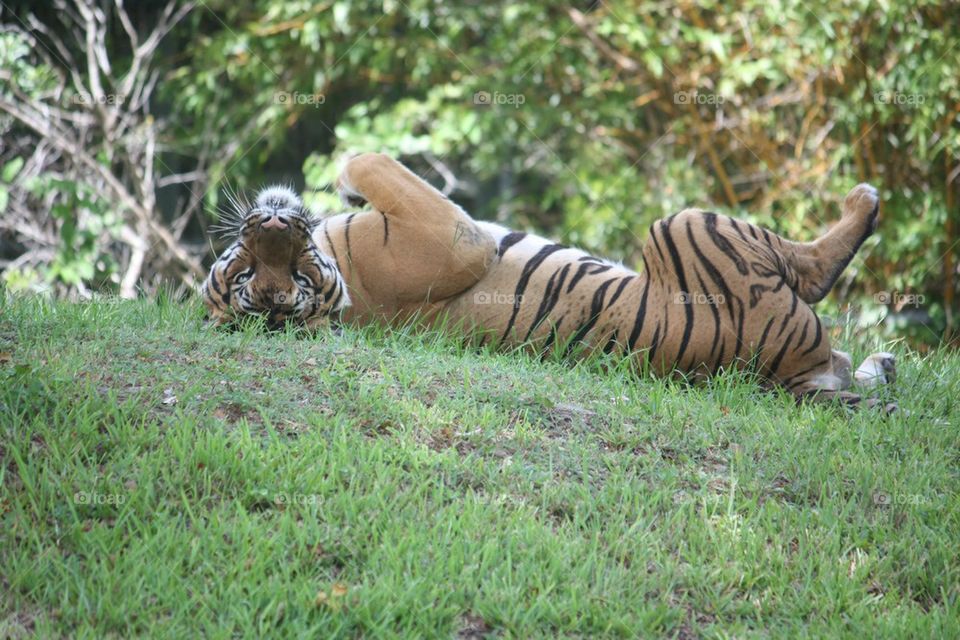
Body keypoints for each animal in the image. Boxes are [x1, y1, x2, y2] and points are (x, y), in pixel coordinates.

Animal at [203, 153, 897, 409]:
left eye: (261, 269)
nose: (274, 220)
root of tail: (783, 377)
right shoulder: (454, 233)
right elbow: (363, 157)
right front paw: (346, 174)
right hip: (685, 225)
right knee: (816, 270)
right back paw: (864, 201)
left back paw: (882, 365)